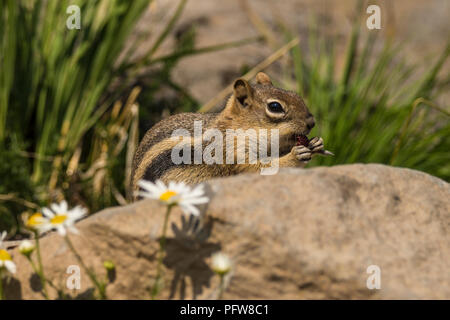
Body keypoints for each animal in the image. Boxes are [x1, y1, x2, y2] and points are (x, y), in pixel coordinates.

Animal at [130, 72, 330, 198]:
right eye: (275, 107)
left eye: (297, 96)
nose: (312, 122)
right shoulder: (234, 154)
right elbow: (258, 170)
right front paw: (296, 155)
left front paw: (316, 144)